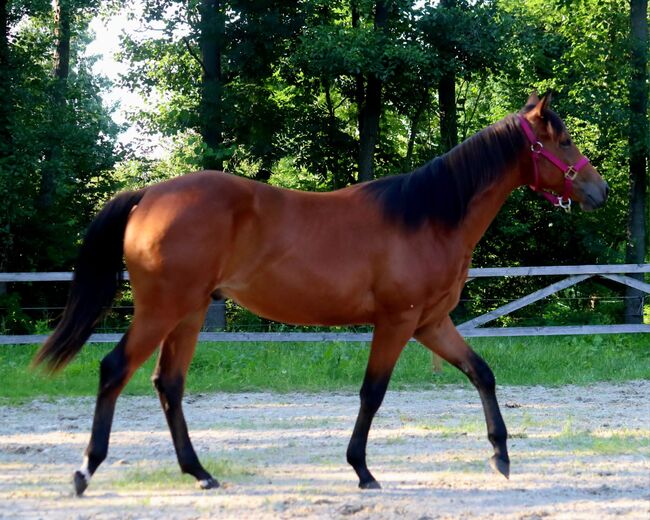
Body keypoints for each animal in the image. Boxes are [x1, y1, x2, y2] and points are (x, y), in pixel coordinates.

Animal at [34, 93, 604, 496]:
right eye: (565, 142)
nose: (599, 191)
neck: (427, 216)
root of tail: (149, 193)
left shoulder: (431, 324)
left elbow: (481, 373)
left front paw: (500, 455)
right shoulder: (397, 322)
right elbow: (372, 393)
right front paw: (362, 470)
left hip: (189, 314)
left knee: (168, 384)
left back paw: (199, 472)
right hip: (163, 309)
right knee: (115, 370)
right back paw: (86, 470)